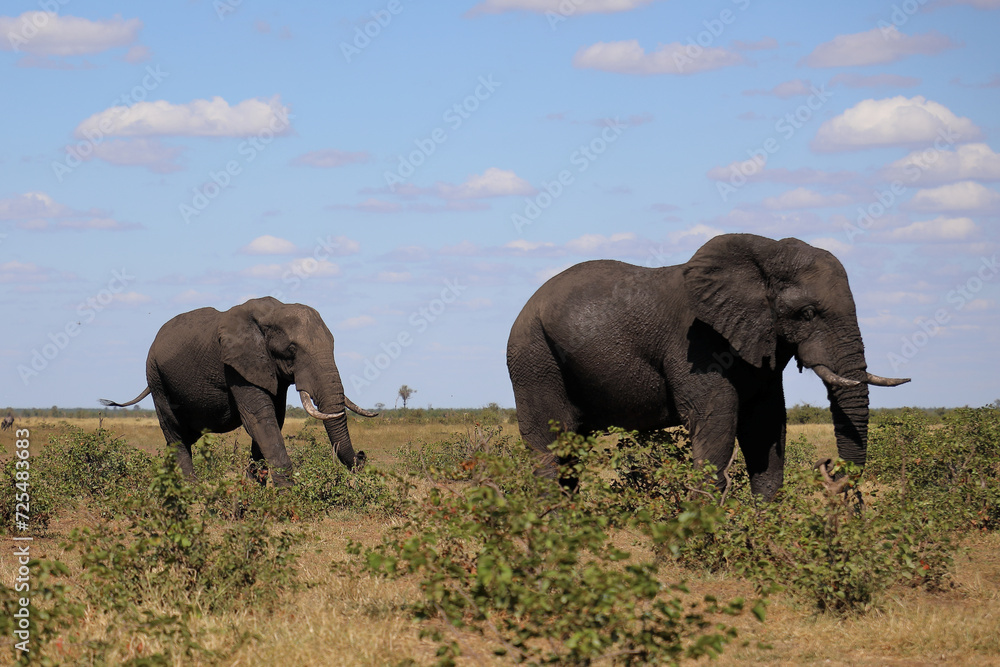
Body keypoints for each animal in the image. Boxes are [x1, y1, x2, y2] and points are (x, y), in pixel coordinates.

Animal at [101, 297, 376, 487]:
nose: (363, 456)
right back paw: (191, 489)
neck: (272, 312)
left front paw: (254, 486)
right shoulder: (236, 365)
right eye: (291, 349)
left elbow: (274, 420)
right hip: (155, 376)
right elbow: (260, 420)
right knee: (175, 433)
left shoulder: (268, 369)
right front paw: (288, 493)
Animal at [506, 233, 909, 500]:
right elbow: (716, 420)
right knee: (550, 448)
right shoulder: (696, 346)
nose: (828, 467)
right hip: (533, 358)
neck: (764, 254)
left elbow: (766, 426)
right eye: (807, 313)